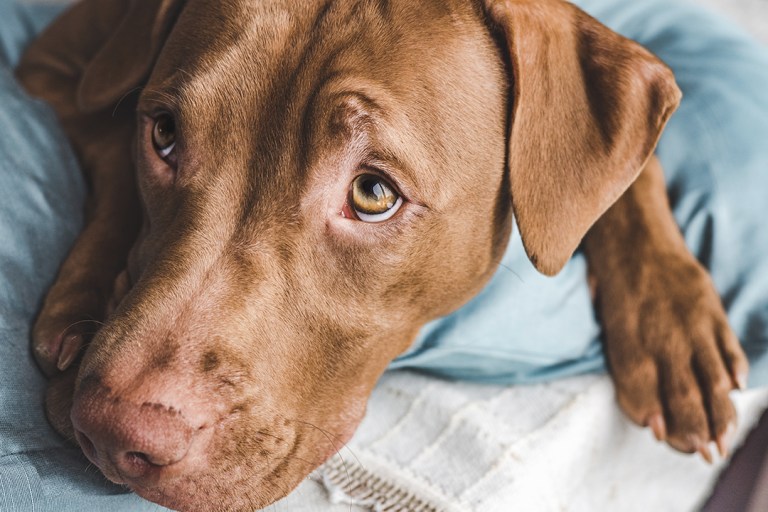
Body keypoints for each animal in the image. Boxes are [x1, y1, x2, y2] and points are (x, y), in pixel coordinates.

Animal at [16, 0, 752, 510]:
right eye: (164, 134)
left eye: (372, 194)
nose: (114, 430)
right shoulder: (54, 60)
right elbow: (110, 141)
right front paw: (82, 307)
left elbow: (636, 170)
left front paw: (671, 326)